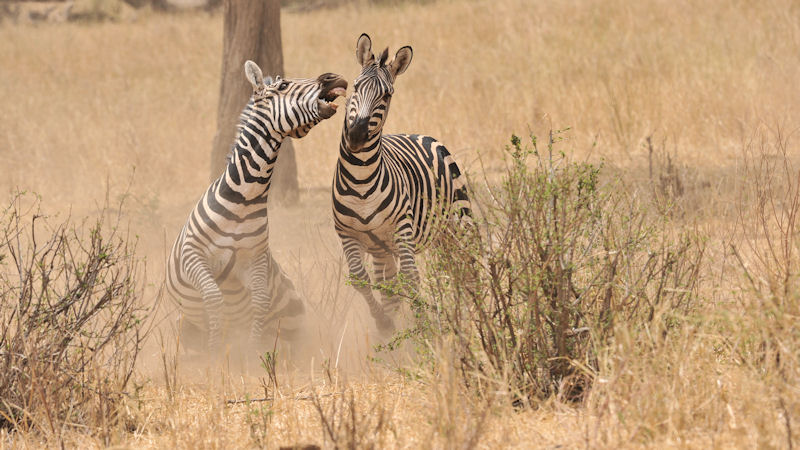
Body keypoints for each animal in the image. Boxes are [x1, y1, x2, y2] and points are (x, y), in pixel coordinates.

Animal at [166, 60, 347, 354]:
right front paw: (214, 350)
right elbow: (214, 297)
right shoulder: (193, 254)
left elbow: (259, 302)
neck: (244, 196)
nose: (334, 77)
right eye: (283, 85)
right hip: (185, 324)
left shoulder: (256, 259)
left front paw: (252, 352)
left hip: (293, 324)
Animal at [332, 34, 471, 334]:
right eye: (356, 86)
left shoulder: (402, 227)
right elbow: (361, 278)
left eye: (387, 95)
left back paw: (470, 314)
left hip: (457, 225)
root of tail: (420, 134)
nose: (356, 136)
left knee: (465, 270)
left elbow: (411, 276)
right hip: (382, 248)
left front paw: (424, 326)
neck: (361, 180)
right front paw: (383, 323)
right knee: (389, 284)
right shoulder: (347, 233)